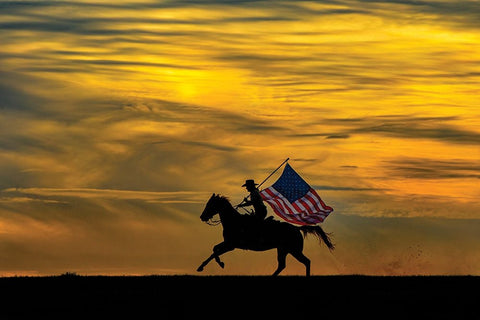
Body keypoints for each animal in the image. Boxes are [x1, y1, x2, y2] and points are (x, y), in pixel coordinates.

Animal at [195, 194, 334, 276]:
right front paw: (204, 266)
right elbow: (214, 249)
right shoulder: (228, 243)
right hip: (283, 250)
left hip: (294, 250)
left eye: (210, 204)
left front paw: (217, 264)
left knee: (306, 261)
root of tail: (296, 228)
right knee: (282, 265)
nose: (202, 217)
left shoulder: (231, 245)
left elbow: (215, 252)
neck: (234, 221)